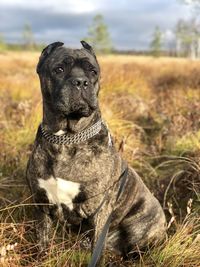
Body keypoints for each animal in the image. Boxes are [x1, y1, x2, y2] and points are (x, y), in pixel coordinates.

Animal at [26, 40, 166, 264]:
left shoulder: (100, 211)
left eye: (93, 71)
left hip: (139, 227)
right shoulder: (42, 205)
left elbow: (96, 253)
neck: (66, 139)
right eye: (59, 69)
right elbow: (42, 241)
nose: (81, 82)